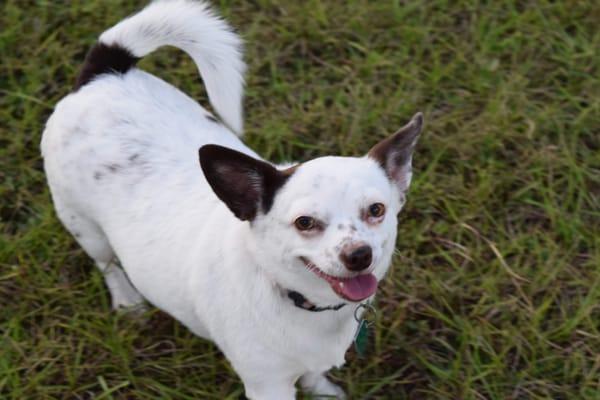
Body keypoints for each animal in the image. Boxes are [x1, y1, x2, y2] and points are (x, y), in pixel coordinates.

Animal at [41, 1, 422, 398]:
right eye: (305, 223)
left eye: (376, 210)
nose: (359, 255)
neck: (300, 300)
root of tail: (105, 72)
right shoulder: (268, 385)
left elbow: (314, 374)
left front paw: (323, 391)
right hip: (84, 225)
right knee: (108, 264)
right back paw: (128, 301)